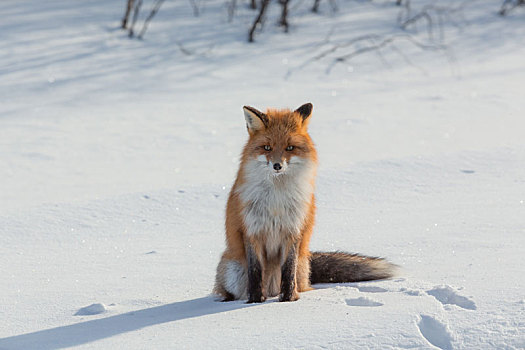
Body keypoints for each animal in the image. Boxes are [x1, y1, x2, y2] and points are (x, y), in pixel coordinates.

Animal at [211, 102, 396, 302]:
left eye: (290, 147)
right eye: (267, 147)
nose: (277, 165)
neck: (277, 198)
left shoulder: (293, 230)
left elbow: (288, 271)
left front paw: (289, 300)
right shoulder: (252, 230)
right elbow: (255, 273)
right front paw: (254, 302)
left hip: (301, 266)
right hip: (234, 272)